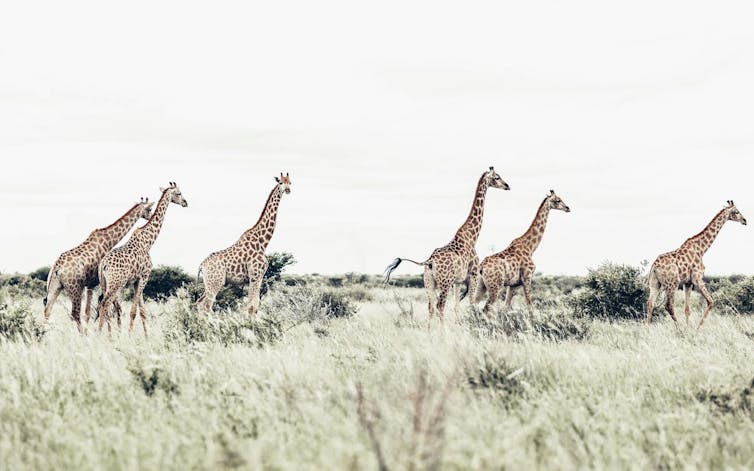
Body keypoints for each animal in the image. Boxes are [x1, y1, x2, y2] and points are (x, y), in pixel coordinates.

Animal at [43, 198, 154, 332]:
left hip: (55, 286)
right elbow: (111, 308)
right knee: (75, 313)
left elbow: (89, 312)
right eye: (149, 209)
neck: (109, 240)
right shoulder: (103, 282)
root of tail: (56, 267)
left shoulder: (90, 284)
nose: (150, 217)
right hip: (75, 288)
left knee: (48, 309)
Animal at [97, 182, 188, 336]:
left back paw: (106, 335)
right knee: (105, 304)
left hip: (104, 283)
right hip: (116, 284)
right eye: (179, 193)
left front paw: (146, 336)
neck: (148, 241)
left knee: (105, 306)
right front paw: (129, 336)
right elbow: (134, 311)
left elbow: (142, 311)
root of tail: (103, 264)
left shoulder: (136, 280)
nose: (185, 203)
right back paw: (101, 335)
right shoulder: (145, 276)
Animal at [197, 173, 291, 315]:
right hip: (215, 283)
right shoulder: (255, 275)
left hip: (209, 284)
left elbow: (255, 305)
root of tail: (202, 265)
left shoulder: (259, 277)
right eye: (280, 182)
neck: (263, 243)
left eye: (290, 182)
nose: (288, 190)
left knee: (199, 303)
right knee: (206, 306)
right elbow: (251, 306)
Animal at [384, 167, 510, 324]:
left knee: (431, 307)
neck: (472, 237)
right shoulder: (473, 274)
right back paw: (443, 331)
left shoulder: (458, 281)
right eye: (497, 177)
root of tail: (429, 261)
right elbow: (471, 304)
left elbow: (456, 306)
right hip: (444, 283)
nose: (507, 186)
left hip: (429, 283)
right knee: (440, 306)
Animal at [646, 200, 747, 329]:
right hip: (672, 283)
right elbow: (711, 301)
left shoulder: (688, 283)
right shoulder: (697, 278)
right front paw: (697, 329)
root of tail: (654, 266)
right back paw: (679, 329)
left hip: (655, 283)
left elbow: (687, 309)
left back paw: (647, 328)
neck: (702, 249)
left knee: (650, 303)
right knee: (668, 306)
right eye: (736, 211)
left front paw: (689, 328)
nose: (745, 220)